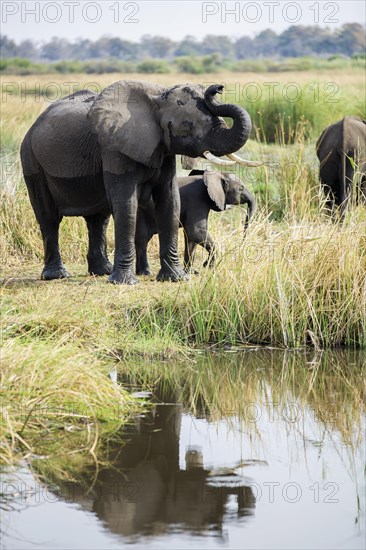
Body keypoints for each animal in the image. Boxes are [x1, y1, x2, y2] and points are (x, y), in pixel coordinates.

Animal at [20, 80, 260, 286]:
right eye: (188, 125)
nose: (217, 87)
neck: (158, 98)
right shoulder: (114, 146)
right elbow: (126, 204)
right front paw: (125, 283)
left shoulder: (163, 148)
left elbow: (169, 200)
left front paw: (175, 278)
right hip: (32, 160)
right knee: (49, 217)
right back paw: (57, 275)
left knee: (99, 219)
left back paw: (102, 271)